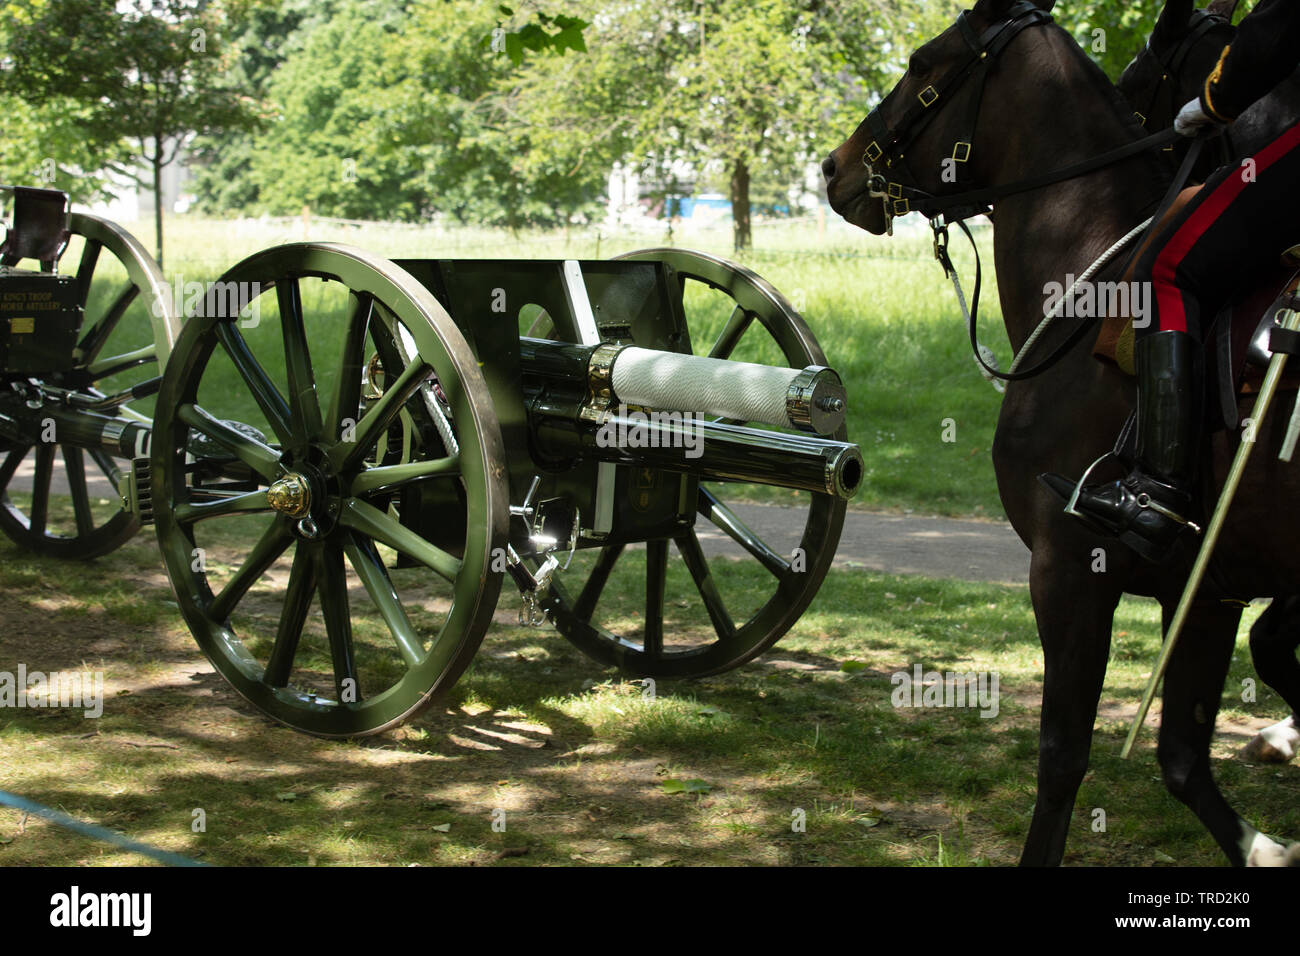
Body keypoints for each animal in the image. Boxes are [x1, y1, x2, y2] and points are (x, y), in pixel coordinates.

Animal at [826, 0, 1294, 868]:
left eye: (920, 61)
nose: (834, 168)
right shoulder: (1207, 589)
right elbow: (1183, 758)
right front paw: (1270, 849)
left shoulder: (1071, 569)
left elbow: (1064, 758)